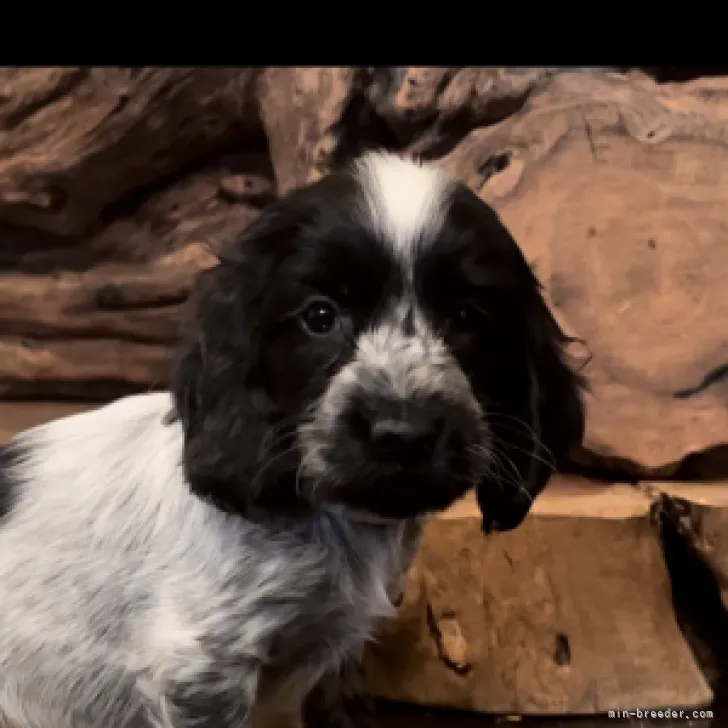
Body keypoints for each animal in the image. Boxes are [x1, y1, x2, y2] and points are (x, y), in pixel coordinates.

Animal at [0, 151, 584, 724]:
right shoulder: (202, 669)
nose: (404, 433)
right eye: (319, 316)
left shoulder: (331, 663)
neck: (329, 521)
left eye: (467, 317)